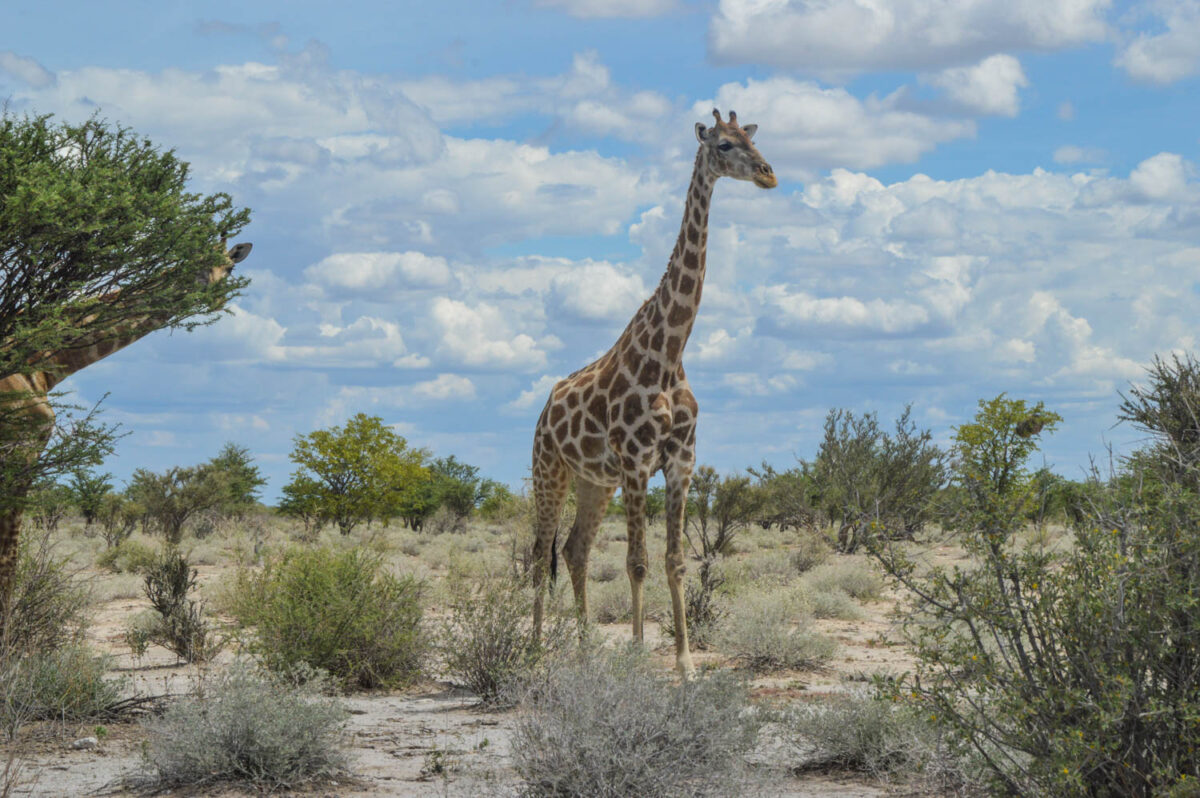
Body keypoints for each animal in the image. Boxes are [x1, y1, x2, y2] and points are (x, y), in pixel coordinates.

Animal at [0, 240, 252, 617]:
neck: (44, 364)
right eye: (194, 260)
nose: (217, 296)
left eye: (231, 267)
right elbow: (10, 552)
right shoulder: (23, 448)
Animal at [531, 109, 776, 675]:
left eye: (755, 138)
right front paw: (640, 656)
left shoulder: (681, 461)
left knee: (574, 550)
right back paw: (529, 652)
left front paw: (685, 664)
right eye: (725, 144)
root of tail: (544, 410)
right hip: (549, 469)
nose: (769, 174)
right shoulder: (639, 461)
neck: (668, 356)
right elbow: (637, 563)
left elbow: (675, 561)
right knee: (538, 554)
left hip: (594, 481)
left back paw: (583, 650)